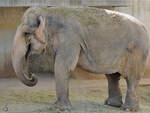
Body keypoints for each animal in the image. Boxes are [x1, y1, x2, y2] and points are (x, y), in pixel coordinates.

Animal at [11, 7, 149, 111]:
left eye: (26, 34)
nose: (32, 75)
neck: (49, 11)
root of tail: (144, 26)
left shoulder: (70, 38)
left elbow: (63, 66)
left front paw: (62, 109)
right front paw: (58, 106)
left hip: (137, 52)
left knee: (131, 78)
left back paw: (128, 109)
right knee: (112, 76)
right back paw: (111, 104)